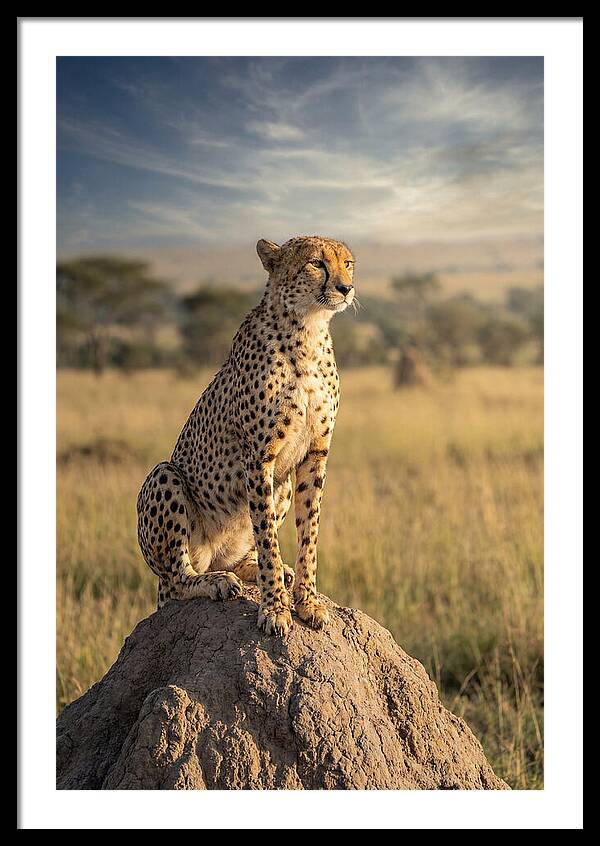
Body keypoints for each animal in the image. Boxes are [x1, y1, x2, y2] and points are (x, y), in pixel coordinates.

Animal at [136, 235, 355, 636]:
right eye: (316, 263)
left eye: (347, 263)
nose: (345, 288)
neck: (308, 329)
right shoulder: (258, 458)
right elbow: (267, 536)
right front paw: (275, 609)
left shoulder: (315, 454)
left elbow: (309, 533)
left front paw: (307, 601)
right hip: (164, 478)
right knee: (178, 579)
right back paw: (215, 582)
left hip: (282, 485)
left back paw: (258, 571)